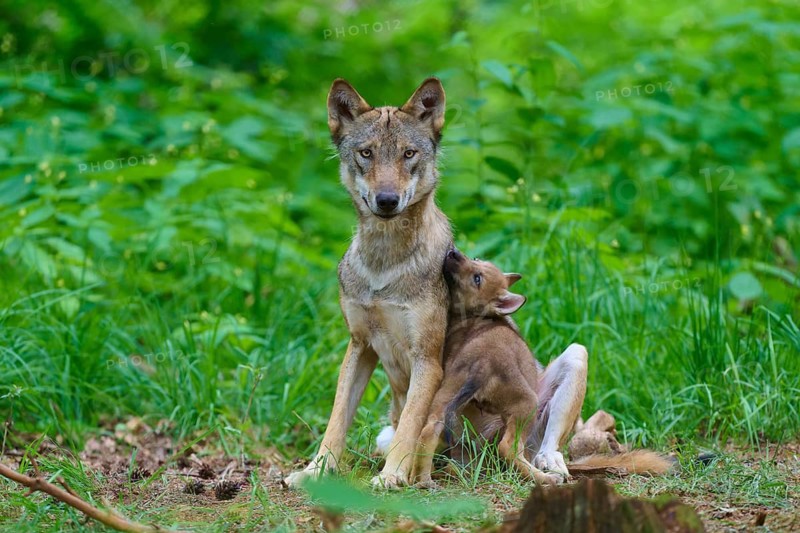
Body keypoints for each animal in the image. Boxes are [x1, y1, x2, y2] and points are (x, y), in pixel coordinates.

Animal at [284, 78, 453, 488]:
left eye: (408, 153)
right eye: (366, 153)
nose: (387, 200)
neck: (383, 267)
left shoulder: (427, 360)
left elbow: (410, 423)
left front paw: (392, 476)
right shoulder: (360, 345)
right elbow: (336, 420)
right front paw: (315, 471)